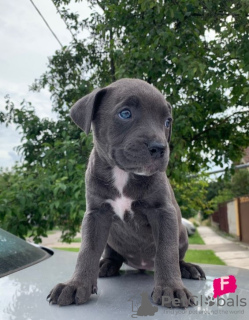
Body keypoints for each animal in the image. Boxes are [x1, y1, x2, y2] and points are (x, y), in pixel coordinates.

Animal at [47, 77, 205, 308]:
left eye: (167, 122)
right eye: (125, 113)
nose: (159, 148)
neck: (123, 174)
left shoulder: (163, 212)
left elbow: (166, 251)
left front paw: (171, 289)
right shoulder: (96, 214)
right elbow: (87, 249)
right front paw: (76, 285)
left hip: (182, 233)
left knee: (177, 256)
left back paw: (188, 268)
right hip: (111, 239)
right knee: (113, 255)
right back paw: (106, 264)